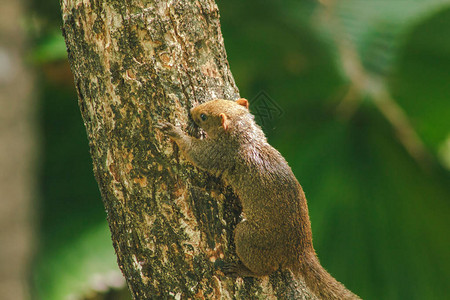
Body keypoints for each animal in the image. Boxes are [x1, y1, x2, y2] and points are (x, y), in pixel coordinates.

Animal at [156, 99, 360, 298]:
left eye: (204, 116)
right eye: (214, 99)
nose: (192, 110)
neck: (246, 136)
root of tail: (299, 250)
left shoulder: (220, 154)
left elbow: (196, 154)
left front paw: (174, 131)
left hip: (250, 238)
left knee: (264, 269)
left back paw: (242, 269)